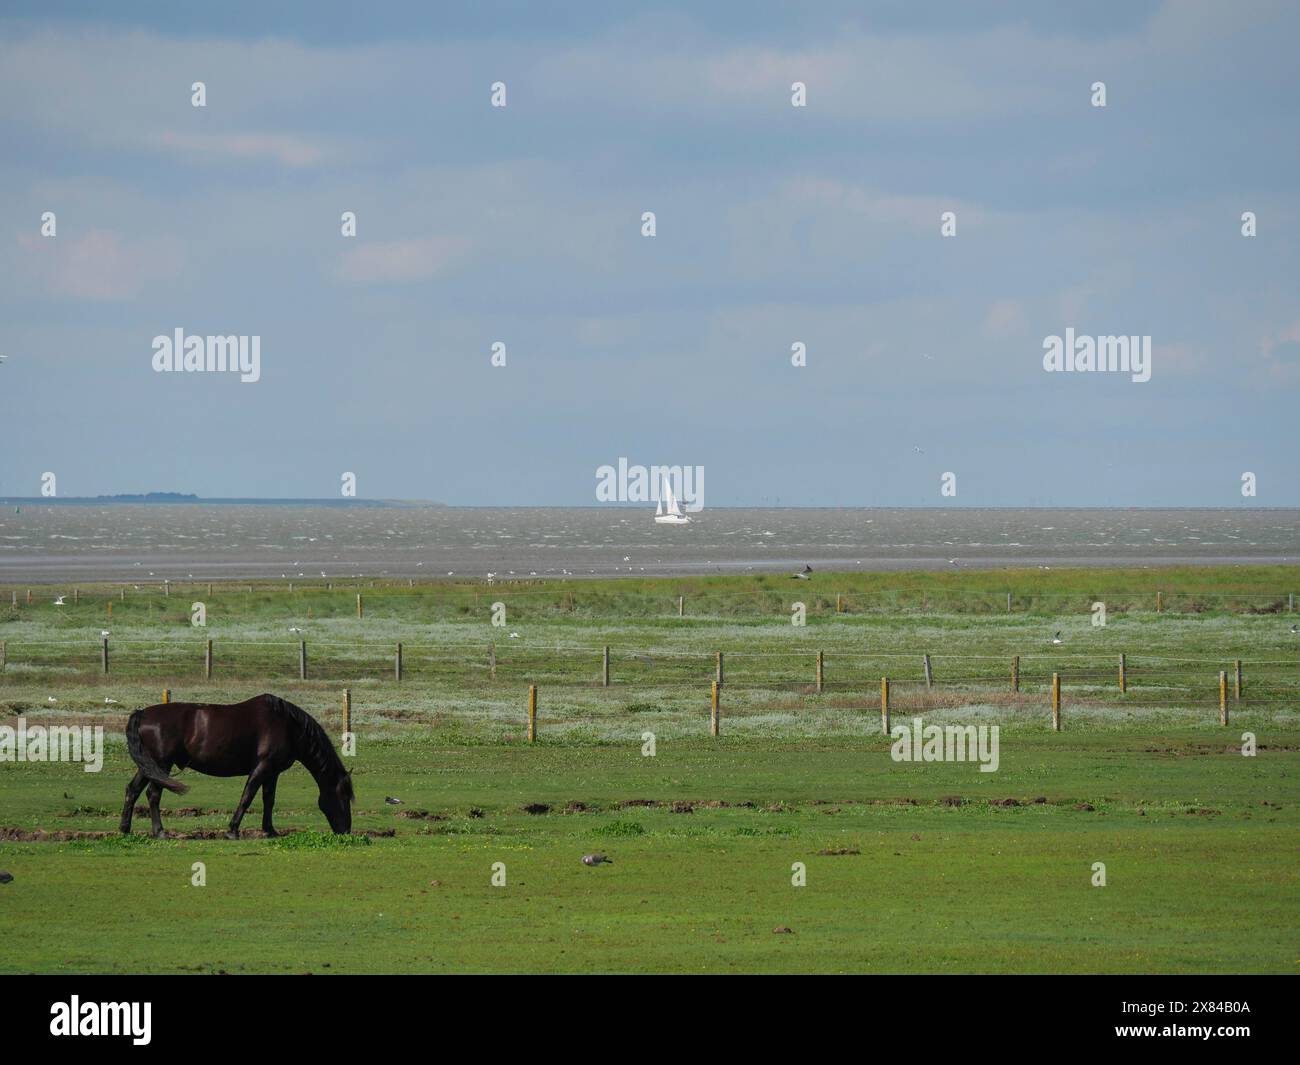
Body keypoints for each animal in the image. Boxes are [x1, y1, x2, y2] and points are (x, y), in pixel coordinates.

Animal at [121, 691, 353, 842]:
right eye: (343, 797)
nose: (346, 831)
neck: (287, 725)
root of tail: (142, 713)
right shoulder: (262, 768)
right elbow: (247, 797)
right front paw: (232, 830)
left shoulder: (272, 773)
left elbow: (269, 799)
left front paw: (269, 830)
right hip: (162, 764)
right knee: (153, 794)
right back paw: (160, 831)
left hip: (148, 766)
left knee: (133, 790)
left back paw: (125, 828)